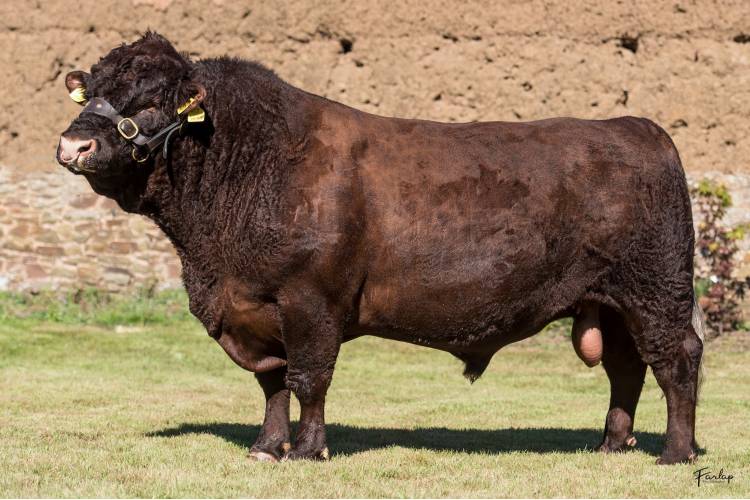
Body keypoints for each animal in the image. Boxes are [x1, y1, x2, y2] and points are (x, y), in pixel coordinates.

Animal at [57, 32, 704, 464]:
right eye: (92, 92)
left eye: (151, 101)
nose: (73, 146)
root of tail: (637, 127)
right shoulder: (254, 309)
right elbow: (272, 384)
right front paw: (266, 446)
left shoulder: (309, 301)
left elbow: (309, 380)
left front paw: (306, 451)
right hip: (610, 302)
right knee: (626, 368)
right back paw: (611, 444)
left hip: (657, 291)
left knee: (676, 360)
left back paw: (675, 452)